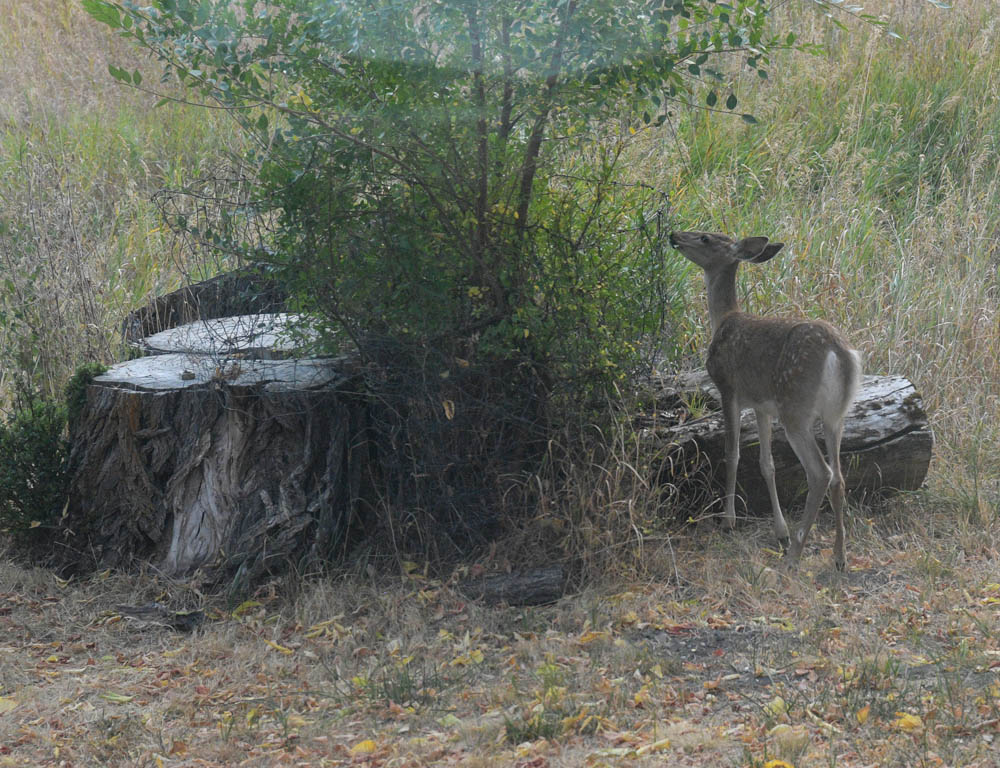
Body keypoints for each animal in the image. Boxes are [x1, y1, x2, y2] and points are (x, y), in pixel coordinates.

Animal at [668, 231, 862, 570]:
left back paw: (795, 555)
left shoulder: (728, 388)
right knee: (838, 476)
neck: (723, 320)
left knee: (820, 473)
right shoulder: (761, 405)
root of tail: (840, 353)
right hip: (835, 415)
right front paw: (779, 530)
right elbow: (766, 463)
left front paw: (728, 521)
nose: (674, 235)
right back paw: (839, 556)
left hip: (795, 407)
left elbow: (732, 455)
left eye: (705, 237)